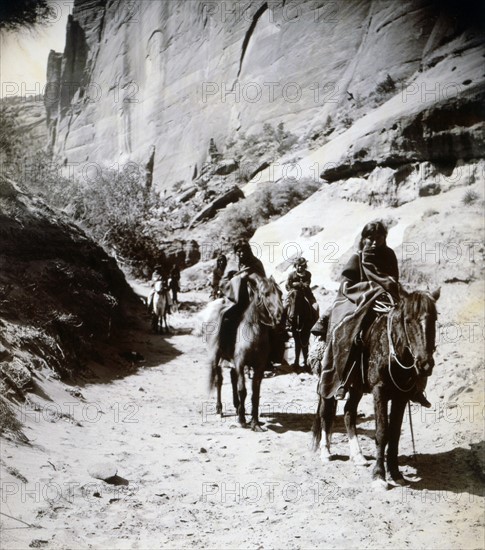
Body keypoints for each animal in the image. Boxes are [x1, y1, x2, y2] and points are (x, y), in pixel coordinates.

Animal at [204, 274, 284, 434]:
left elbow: (255, 394)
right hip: (216, 357)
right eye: (266, 294)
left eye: (280, 293)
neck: (253, 332)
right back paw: (219, 409)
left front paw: (255, 423)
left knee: (232, 377)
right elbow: (243, 390)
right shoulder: (241, 363)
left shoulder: (259, 367)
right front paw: (242, 420)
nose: (280, 315)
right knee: (219, 381)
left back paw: (237, 406)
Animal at [312, 288, 440, 488]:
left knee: (349, 412)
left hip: (356, 386)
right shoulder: (379, 391)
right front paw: (379, 476)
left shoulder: (401, 396)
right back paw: (326, 452)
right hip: (329, 381)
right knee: (326, 412)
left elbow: (394, 433)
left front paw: (395, 473)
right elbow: (382, 432)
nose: (425, 364)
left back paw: (358, 456)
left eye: (434, 319)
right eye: (407, 320)